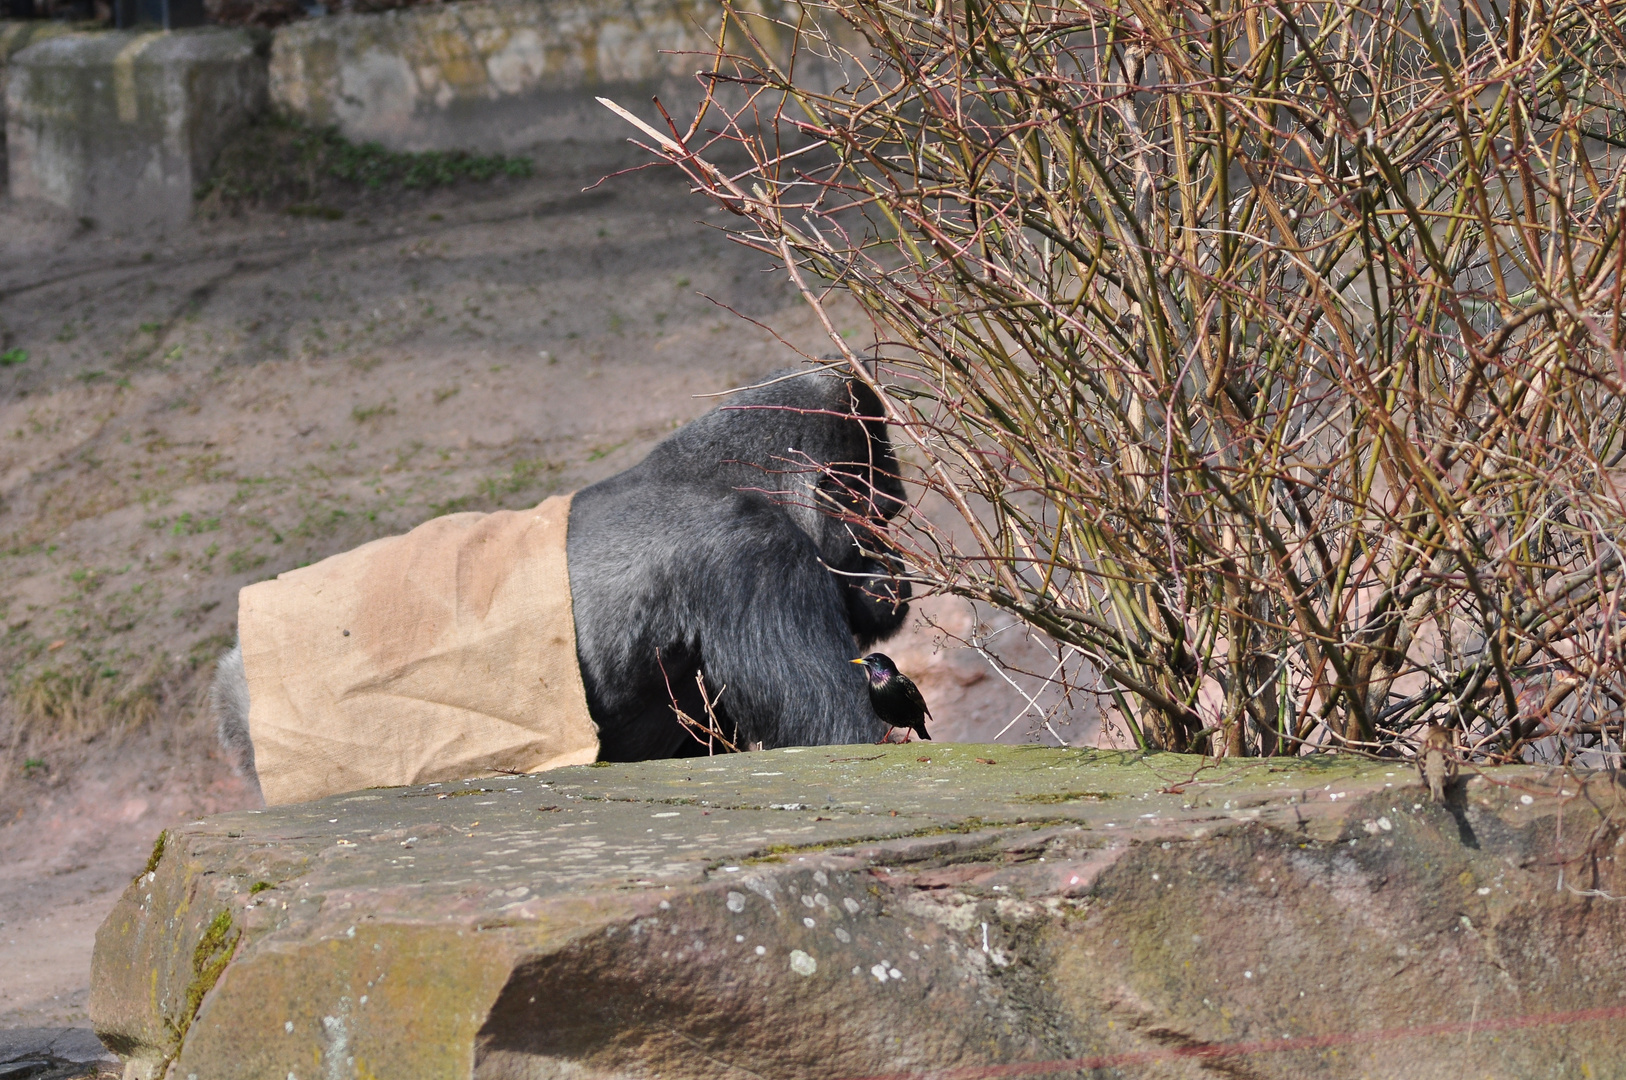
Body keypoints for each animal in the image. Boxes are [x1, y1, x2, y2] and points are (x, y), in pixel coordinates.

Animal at [209, 367, 910, 780]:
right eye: (881, 516)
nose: (897, 571)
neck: (726, 473)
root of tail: (233, 660)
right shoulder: (755, 553)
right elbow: (835, 735)